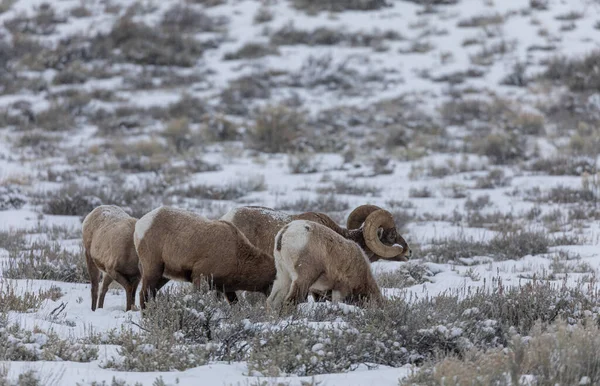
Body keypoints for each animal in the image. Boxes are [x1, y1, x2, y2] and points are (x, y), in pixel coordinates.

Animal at [133, 207, 274, 310]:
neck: (237, 255)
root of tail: (140, 225)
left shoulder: (226, 289)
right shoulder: (200, 277)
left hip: (163, 275)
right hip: (153, 269)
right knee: (144, 294)